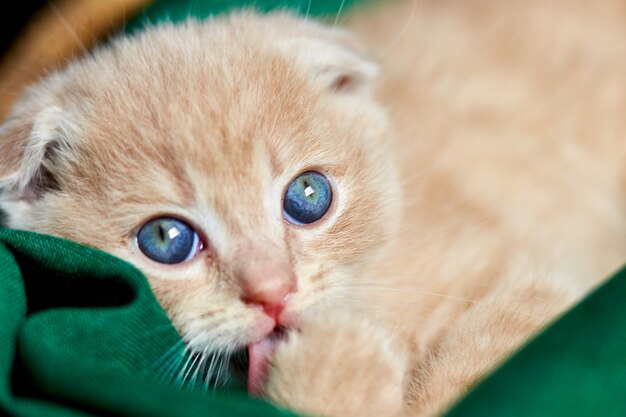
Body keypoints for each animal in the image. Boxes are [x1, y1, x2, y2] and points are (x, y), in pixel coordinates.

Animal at [1, 0, 624, 416]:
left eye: (307, 197)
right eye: (167, 241)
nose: (274, 293)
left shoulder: (536, 290)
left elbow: (458, 391)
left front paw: (336, 360)